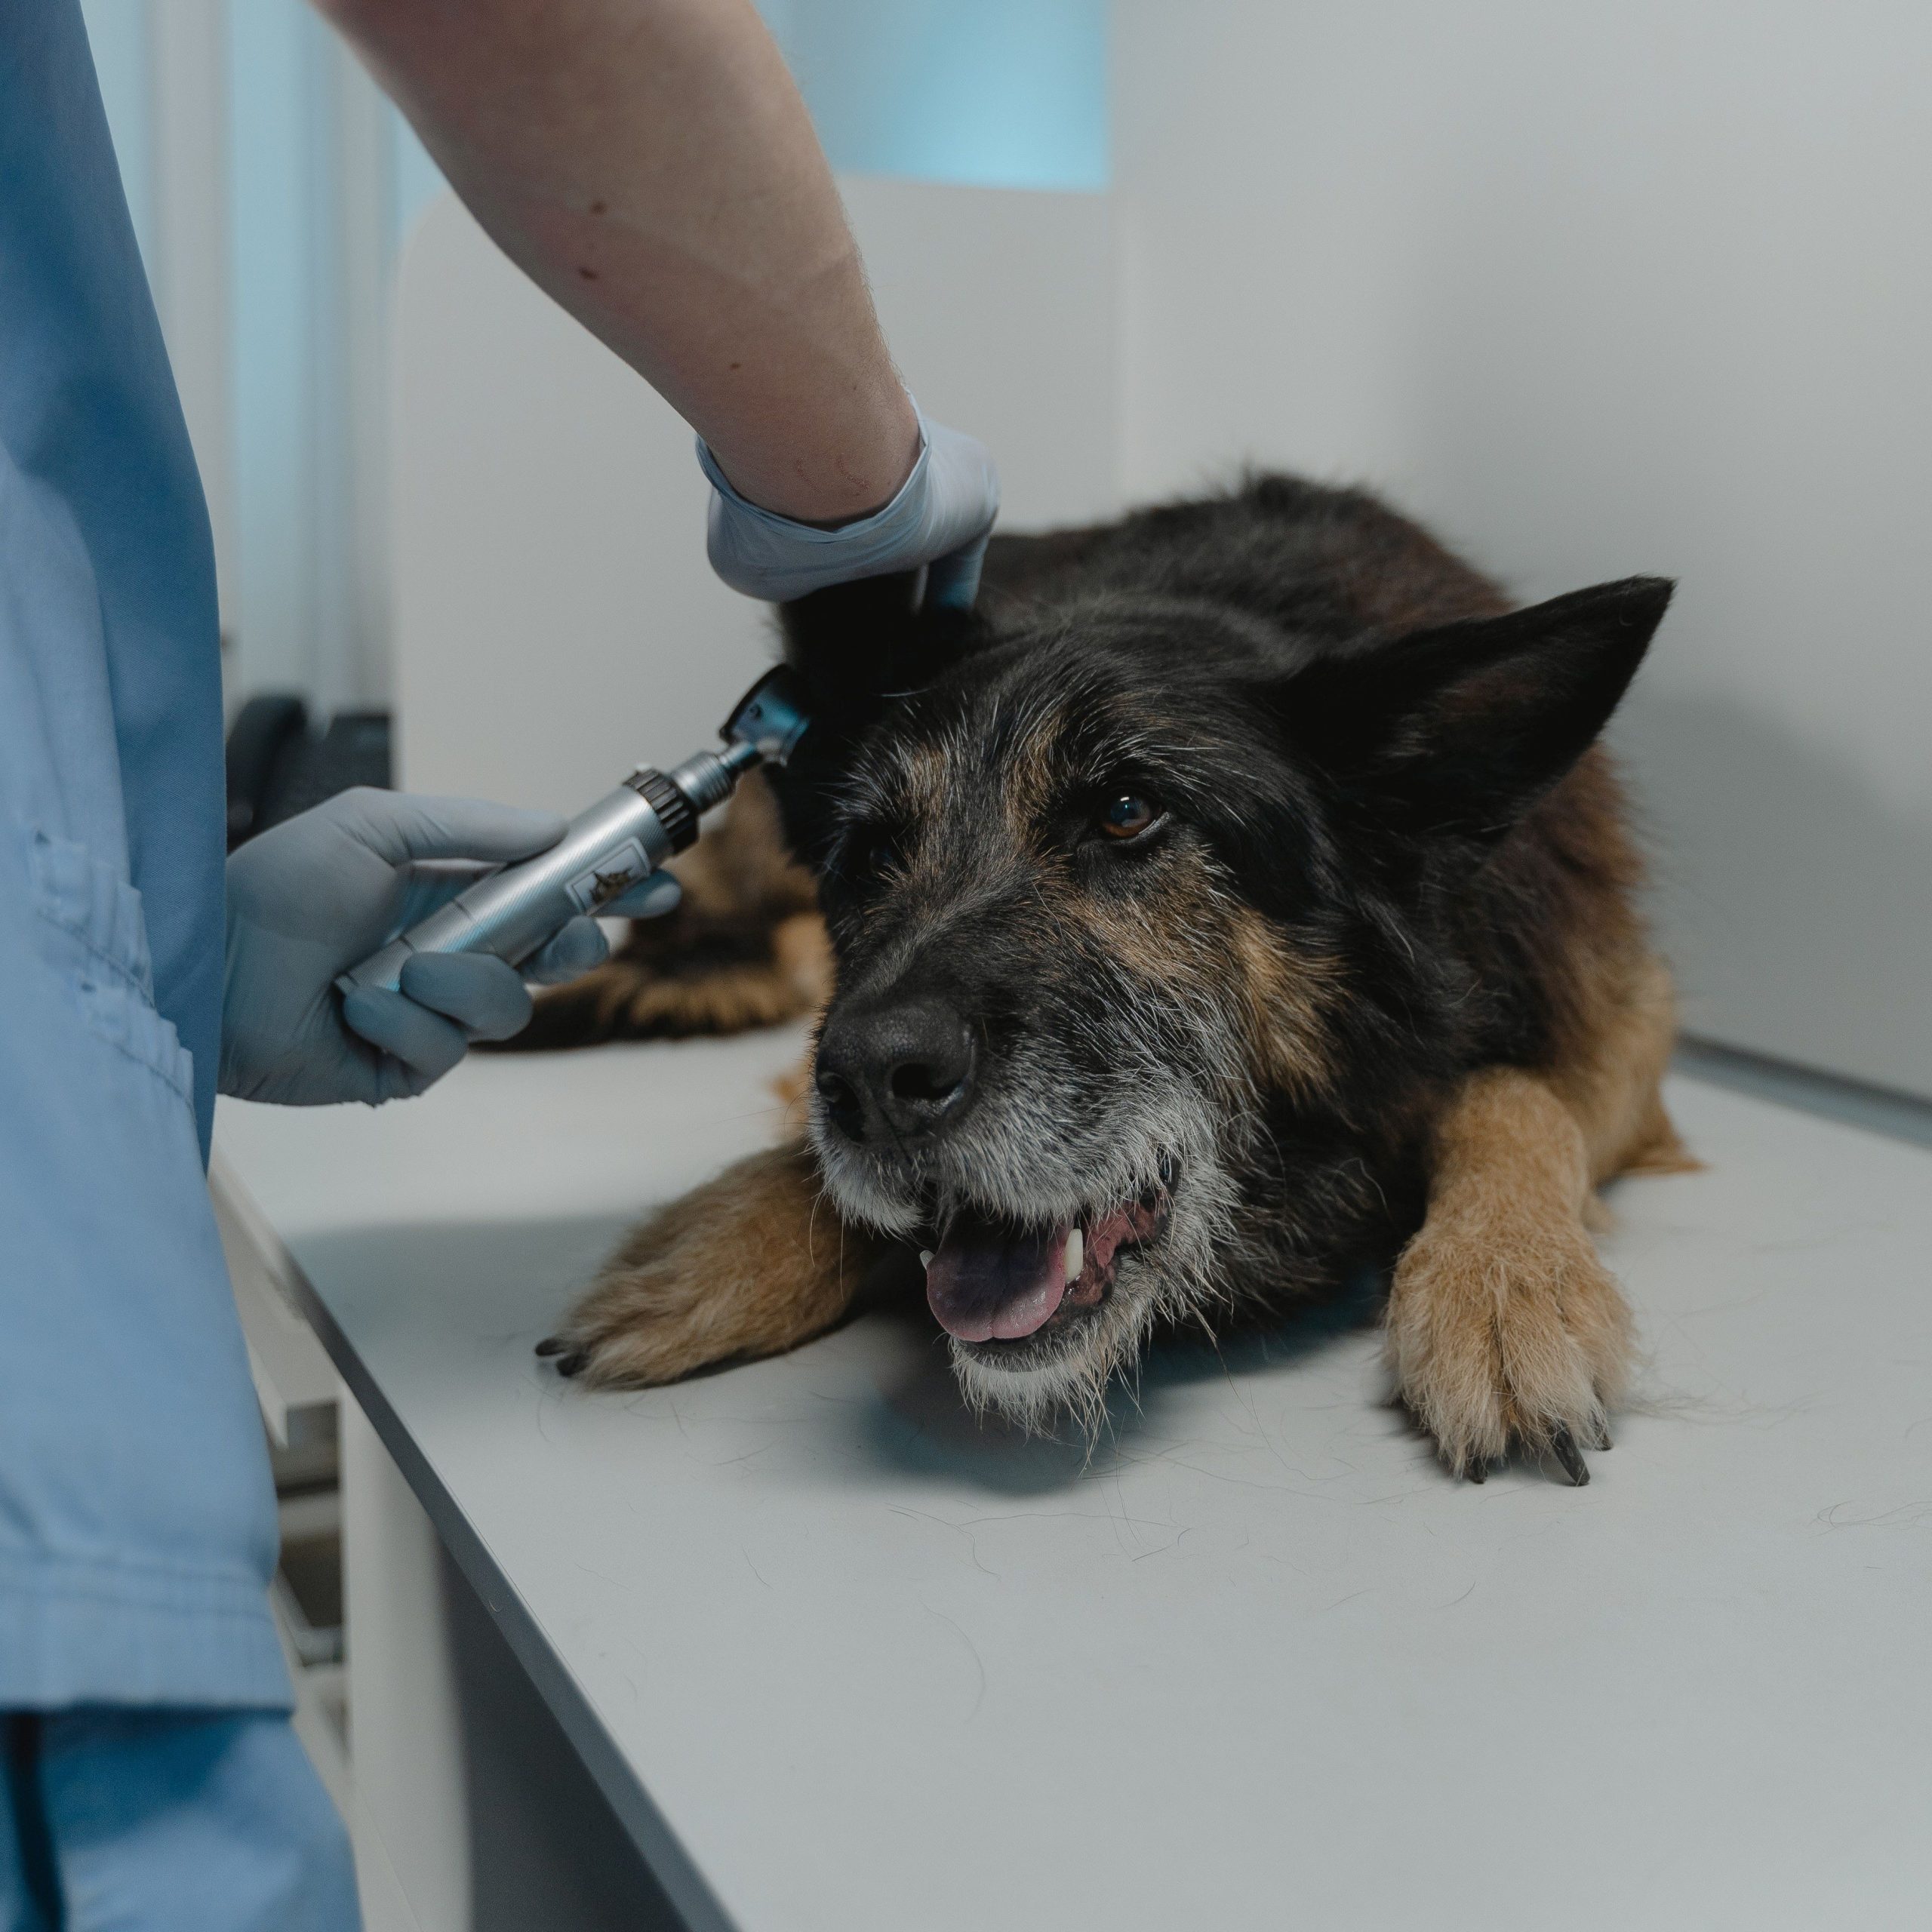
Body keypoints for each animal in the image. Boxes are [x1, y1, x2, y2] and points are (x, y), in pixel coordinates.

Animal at [529, 478, 1692, 1475]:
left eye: (1128, 812)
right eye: (869, 852)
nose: (867, 1082)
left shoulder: (1619, 1011)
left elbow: (1514, 1095)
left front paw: (1504, 1283)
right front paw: (724, 1246)